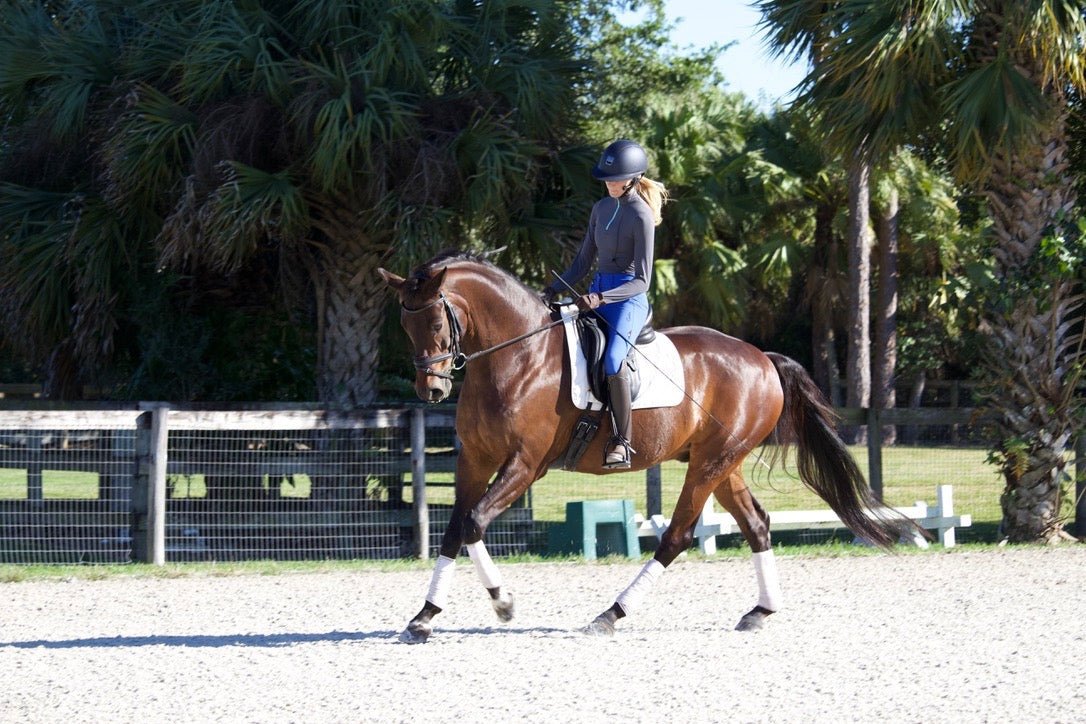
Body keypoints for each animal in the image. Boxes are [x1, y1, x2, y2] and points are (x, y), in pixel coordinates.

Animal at [378, 250, 903, 643]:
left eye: (436, 324)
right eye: (406, 326)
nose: (432, 390)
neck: (517, 355)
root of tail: (761, 358)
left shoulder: (525, 465)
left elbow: (473, 522)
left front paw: (503, 603)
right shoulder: (475, 459)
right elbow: (454, 529)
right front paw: (423, 617)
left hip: (710, 464)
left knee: (677, 536)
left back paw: (609, 615)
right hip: (723, 462)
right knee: (755, 523)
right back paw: (759, 612)